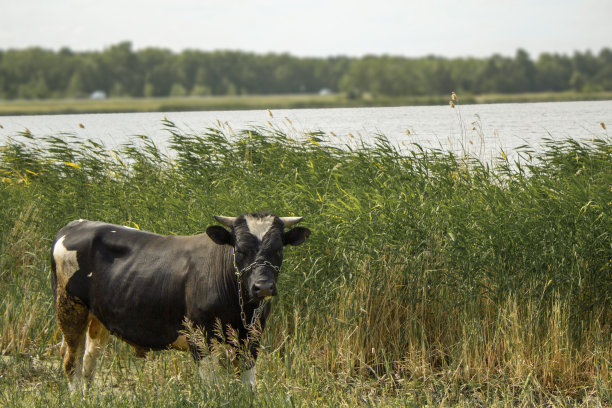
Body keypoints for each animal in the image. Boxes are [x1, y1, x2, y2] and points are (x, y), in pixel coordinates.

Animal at [50, 212, 310, 390]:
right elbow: (213, 389)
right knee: (72, 362)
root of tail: (77, 224)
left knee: (88, 362)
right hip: (69, 308)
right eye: (240, 250)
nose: (262, 286)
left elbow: (247, 387)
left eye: (278, 249)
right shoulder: (201, 339)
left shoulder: (252, 340)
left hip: (98, 317)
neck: (241, 309)